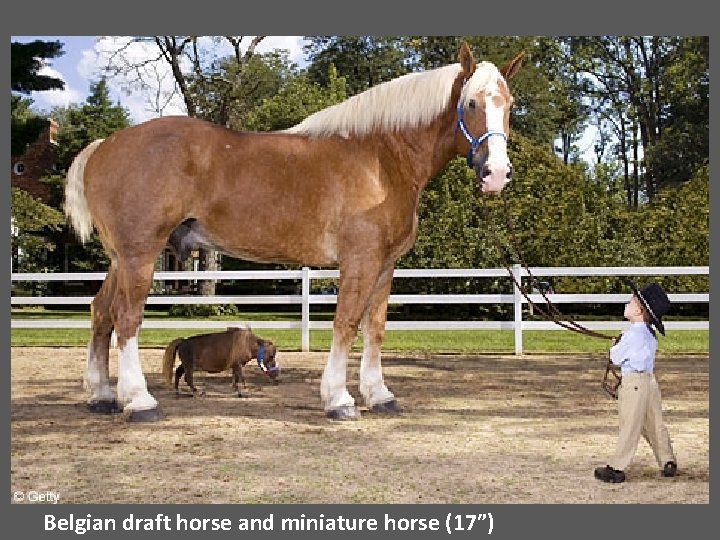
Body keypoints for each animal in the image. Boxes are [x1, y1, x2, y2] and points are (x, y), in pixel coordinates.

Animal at [64, 42, 523, 421]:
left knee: (100, 312)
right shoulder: (359, 261)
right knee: (126, 317)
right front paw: (339, 399)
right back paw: (139, 402)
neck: (380, 158)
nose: (496, 174)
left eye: (509, 104)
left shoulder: (386, 265)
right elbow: (346, 323)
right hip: (140, 254)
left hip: (120, 259)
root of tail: (104, 146)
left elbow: (374, 328)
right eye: (471, 103)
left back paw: (102, 396)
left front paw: (379, 396)